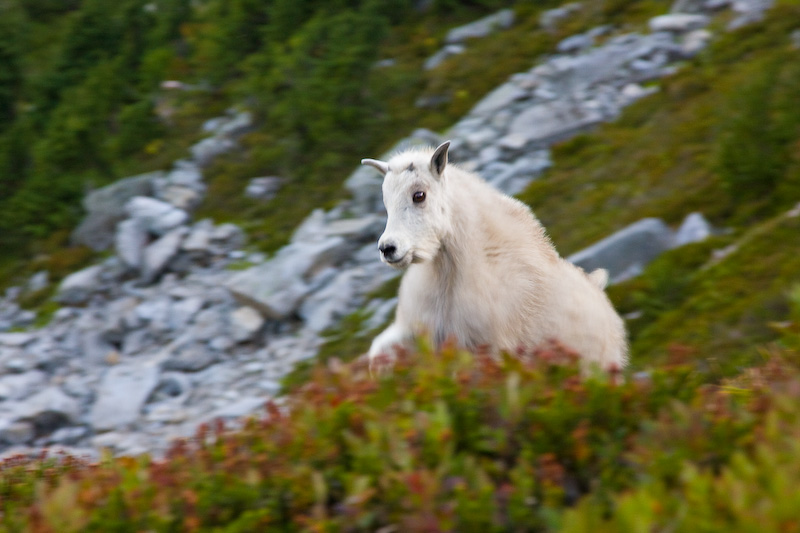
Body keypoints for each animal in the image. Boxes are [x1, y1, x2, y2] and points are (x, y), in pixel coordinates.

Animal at [362, 139, 632, 368]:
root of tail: (599, 289)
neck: (449, 272)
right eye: (386, 202)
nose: (388, 248)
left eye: (419, 195)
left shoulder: (489, 347)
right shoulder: (419, 330)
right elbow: (378, 351)